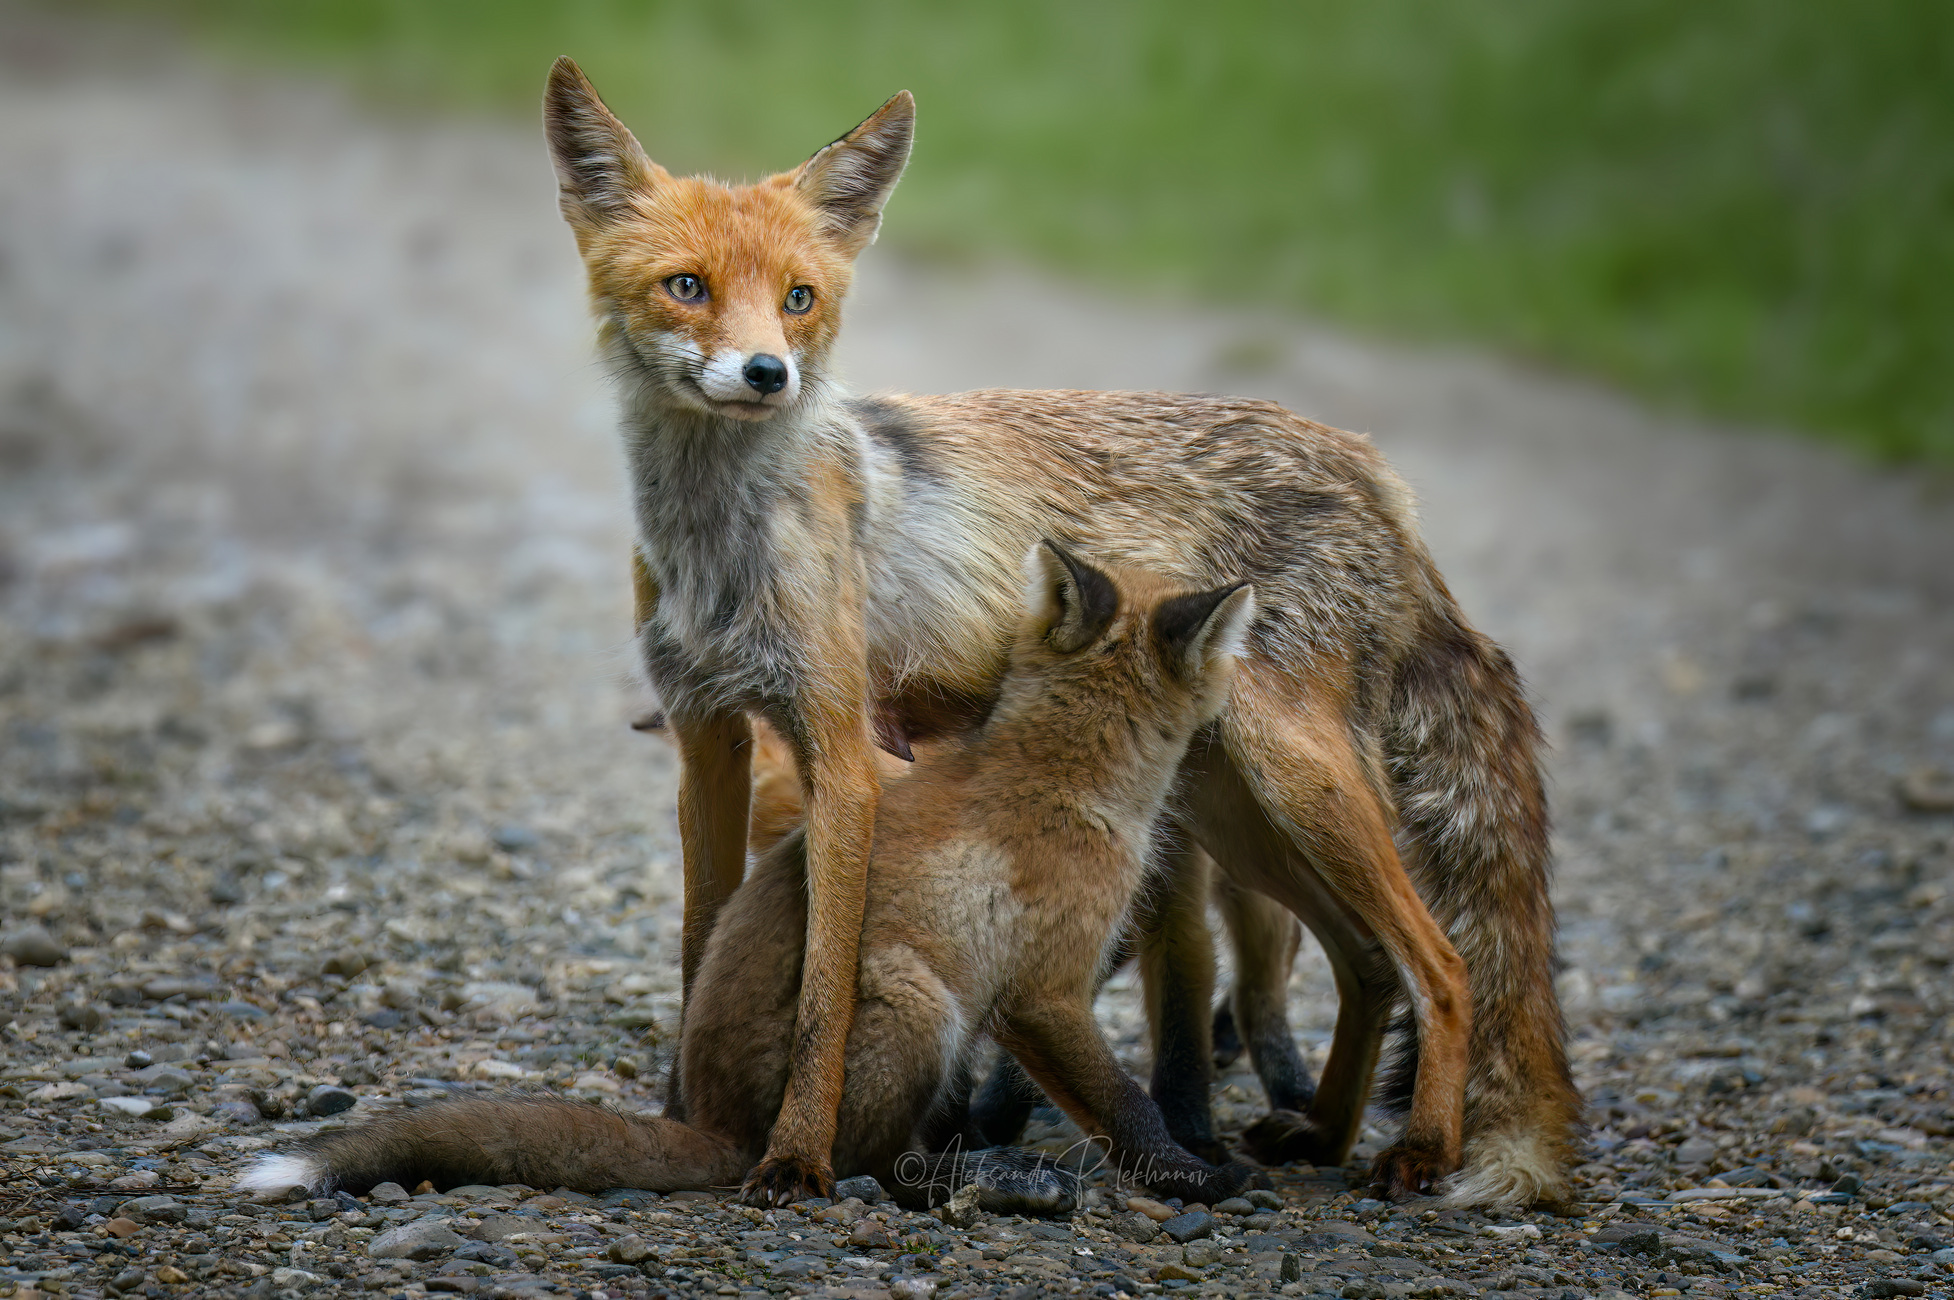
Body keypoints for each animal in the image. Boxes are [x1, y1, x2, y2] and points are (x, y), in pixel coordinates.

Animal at [248, 543, 1266, 1204]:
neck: (1061, 768)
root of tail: (727, 1131)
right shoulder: (1045, 993)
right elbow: (1125, 1105)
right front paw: (1194, 1178)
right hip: (912, 998)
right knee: (871, 1164)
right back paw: (961, 1176)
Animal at [543, 55, 1578, 1204]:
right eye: (687, 287)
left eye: (798, 301)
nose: (769, 375)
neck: (721, 550)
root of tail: (1375, 473)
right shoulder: (709, 741)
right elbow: (699, 952)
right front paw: (682, 1122)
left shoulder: (843, 754)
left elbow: (826, 991)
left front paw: (796, 1156)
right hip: (1234, 807)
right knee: (1364, 961)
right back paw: (1321, 1133)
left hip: (1294, 781)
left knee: (1441, 963)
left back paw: (1421, 1146)